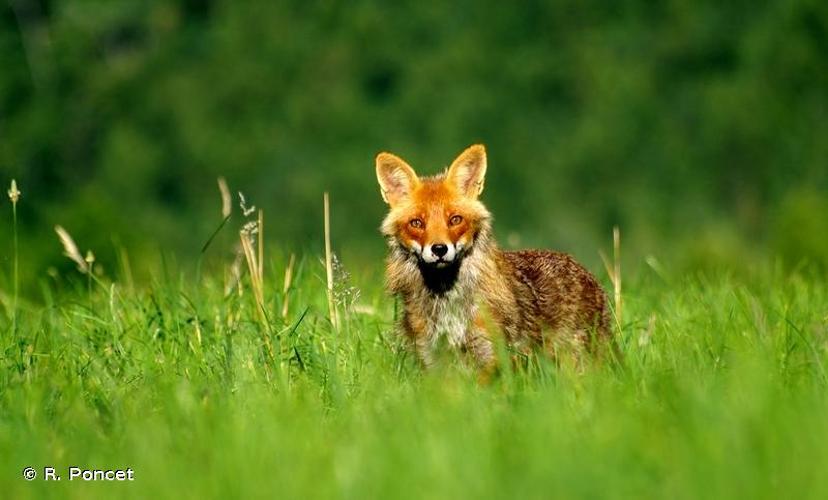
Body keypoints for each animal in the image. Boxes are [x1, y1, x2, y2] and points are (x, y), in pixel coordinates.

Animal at [378, 143, 612, 370]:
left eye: (455, 220)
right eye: (416, 223)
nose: (439, 249)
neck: (446, 300)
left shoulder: (492, 354)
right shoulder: (433, 360)